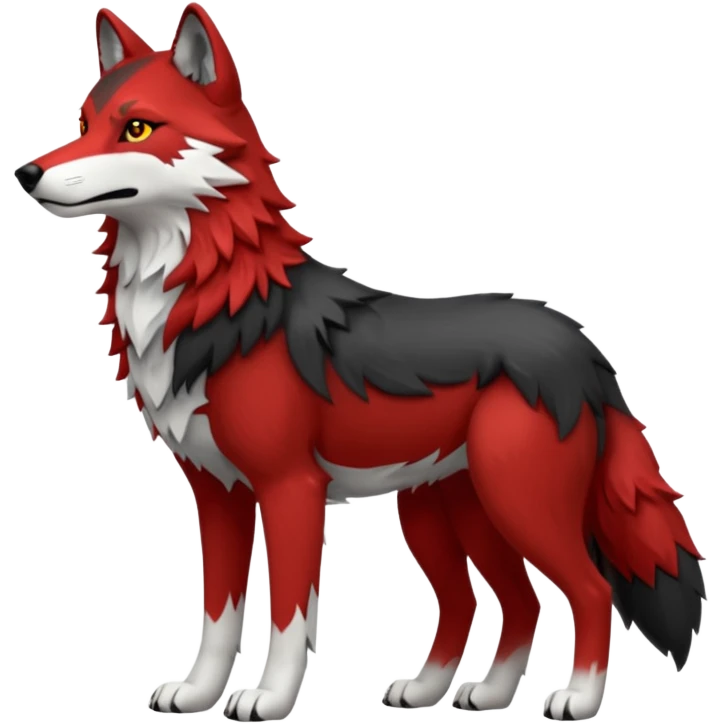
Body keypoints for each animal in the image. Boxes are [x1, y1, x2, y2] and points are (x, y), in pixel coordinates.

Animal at [14, 3, 707, 721]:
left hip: (516, 503)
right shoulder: (218, 494)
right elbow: (219, 613)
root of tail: (587, 351)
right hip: (445, 515)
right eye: (83, 125)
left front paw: (270, 699)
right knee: (501, 601)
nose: (26, 173)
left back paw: (578, 698)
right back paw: (460, 692)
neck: (213, 307)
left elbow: (288, 613)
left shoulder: (290, 489)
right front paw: (200, 692)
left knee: (589, 591)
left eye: (137, 128)